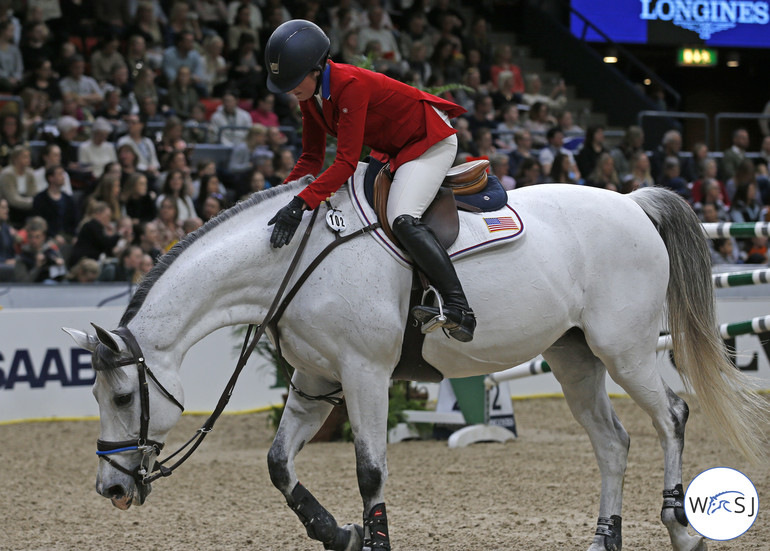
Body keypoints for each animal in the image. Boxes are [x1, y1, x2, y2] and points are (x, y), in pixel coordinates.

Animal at [64, 176, 760, 551]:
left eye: (122, 397)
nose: (111, 489)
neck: (293, 262)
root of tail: (632, 203)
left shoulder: (364, 374)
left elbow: (370, 471)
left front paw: (369, 538)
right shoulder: (315, 380)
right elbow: (279, 465)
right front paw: (338, 534)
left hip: (627, 349)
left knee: (671, 416)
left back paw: (680, 525)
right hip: (574, 356)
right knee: (613, 442)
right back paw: (603, 537)